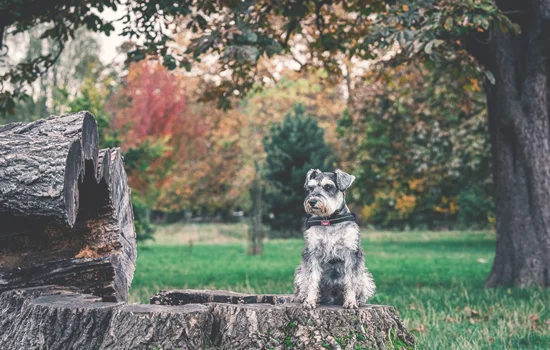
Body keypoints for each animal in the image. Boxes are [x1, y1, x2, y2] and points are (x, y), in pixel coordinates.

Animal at [296, 170, 378, 308]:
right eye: (311, 188)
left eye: (328, 187)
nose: (312, 201)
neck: (329, 221)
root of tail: (332, 298)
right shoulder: (312, 252)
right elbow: (312, 279)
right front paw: (310, 300)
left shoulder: (351, 252)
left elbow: (351, 280)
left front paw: (350, 301)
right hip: (300, 272)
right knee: (303, 282)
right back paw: (302, 296)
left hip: (365, 276)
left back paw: (359, 300)